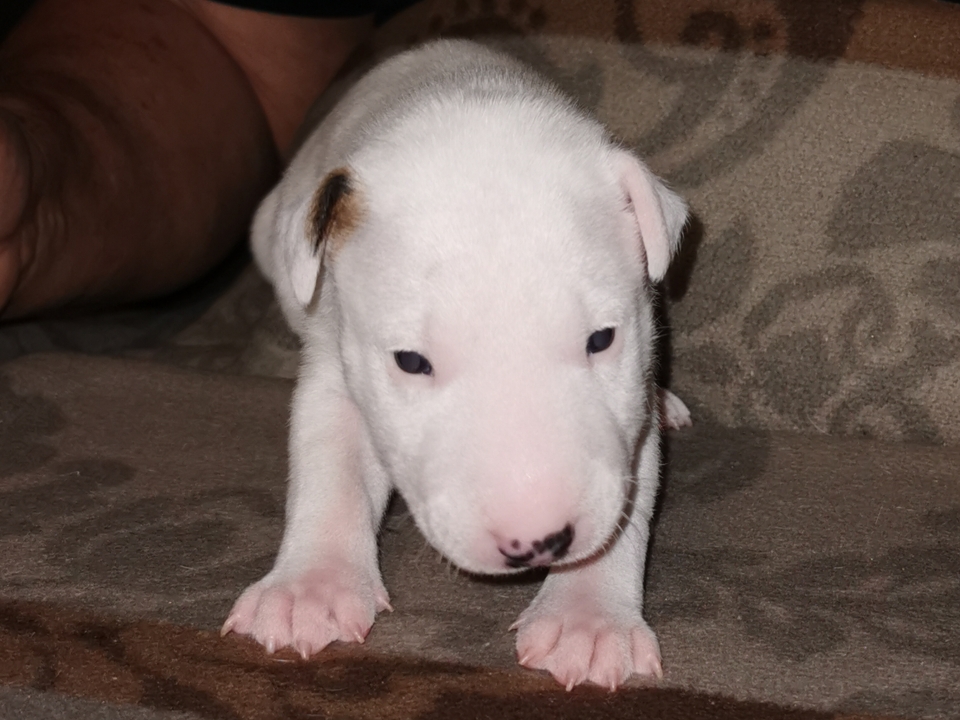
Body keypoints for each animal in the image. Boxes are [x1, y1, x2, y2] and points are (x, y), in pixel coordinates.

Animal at [222, 39, 690, 691]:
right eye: (410, 361)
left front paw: (588, 619)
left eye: (602, 339)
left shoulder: (630, 407)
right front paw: (309, 589)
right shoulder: (335, 356)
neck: (465, 96)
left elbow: (630, 495)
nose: (538, 543)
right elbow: (331, 465)